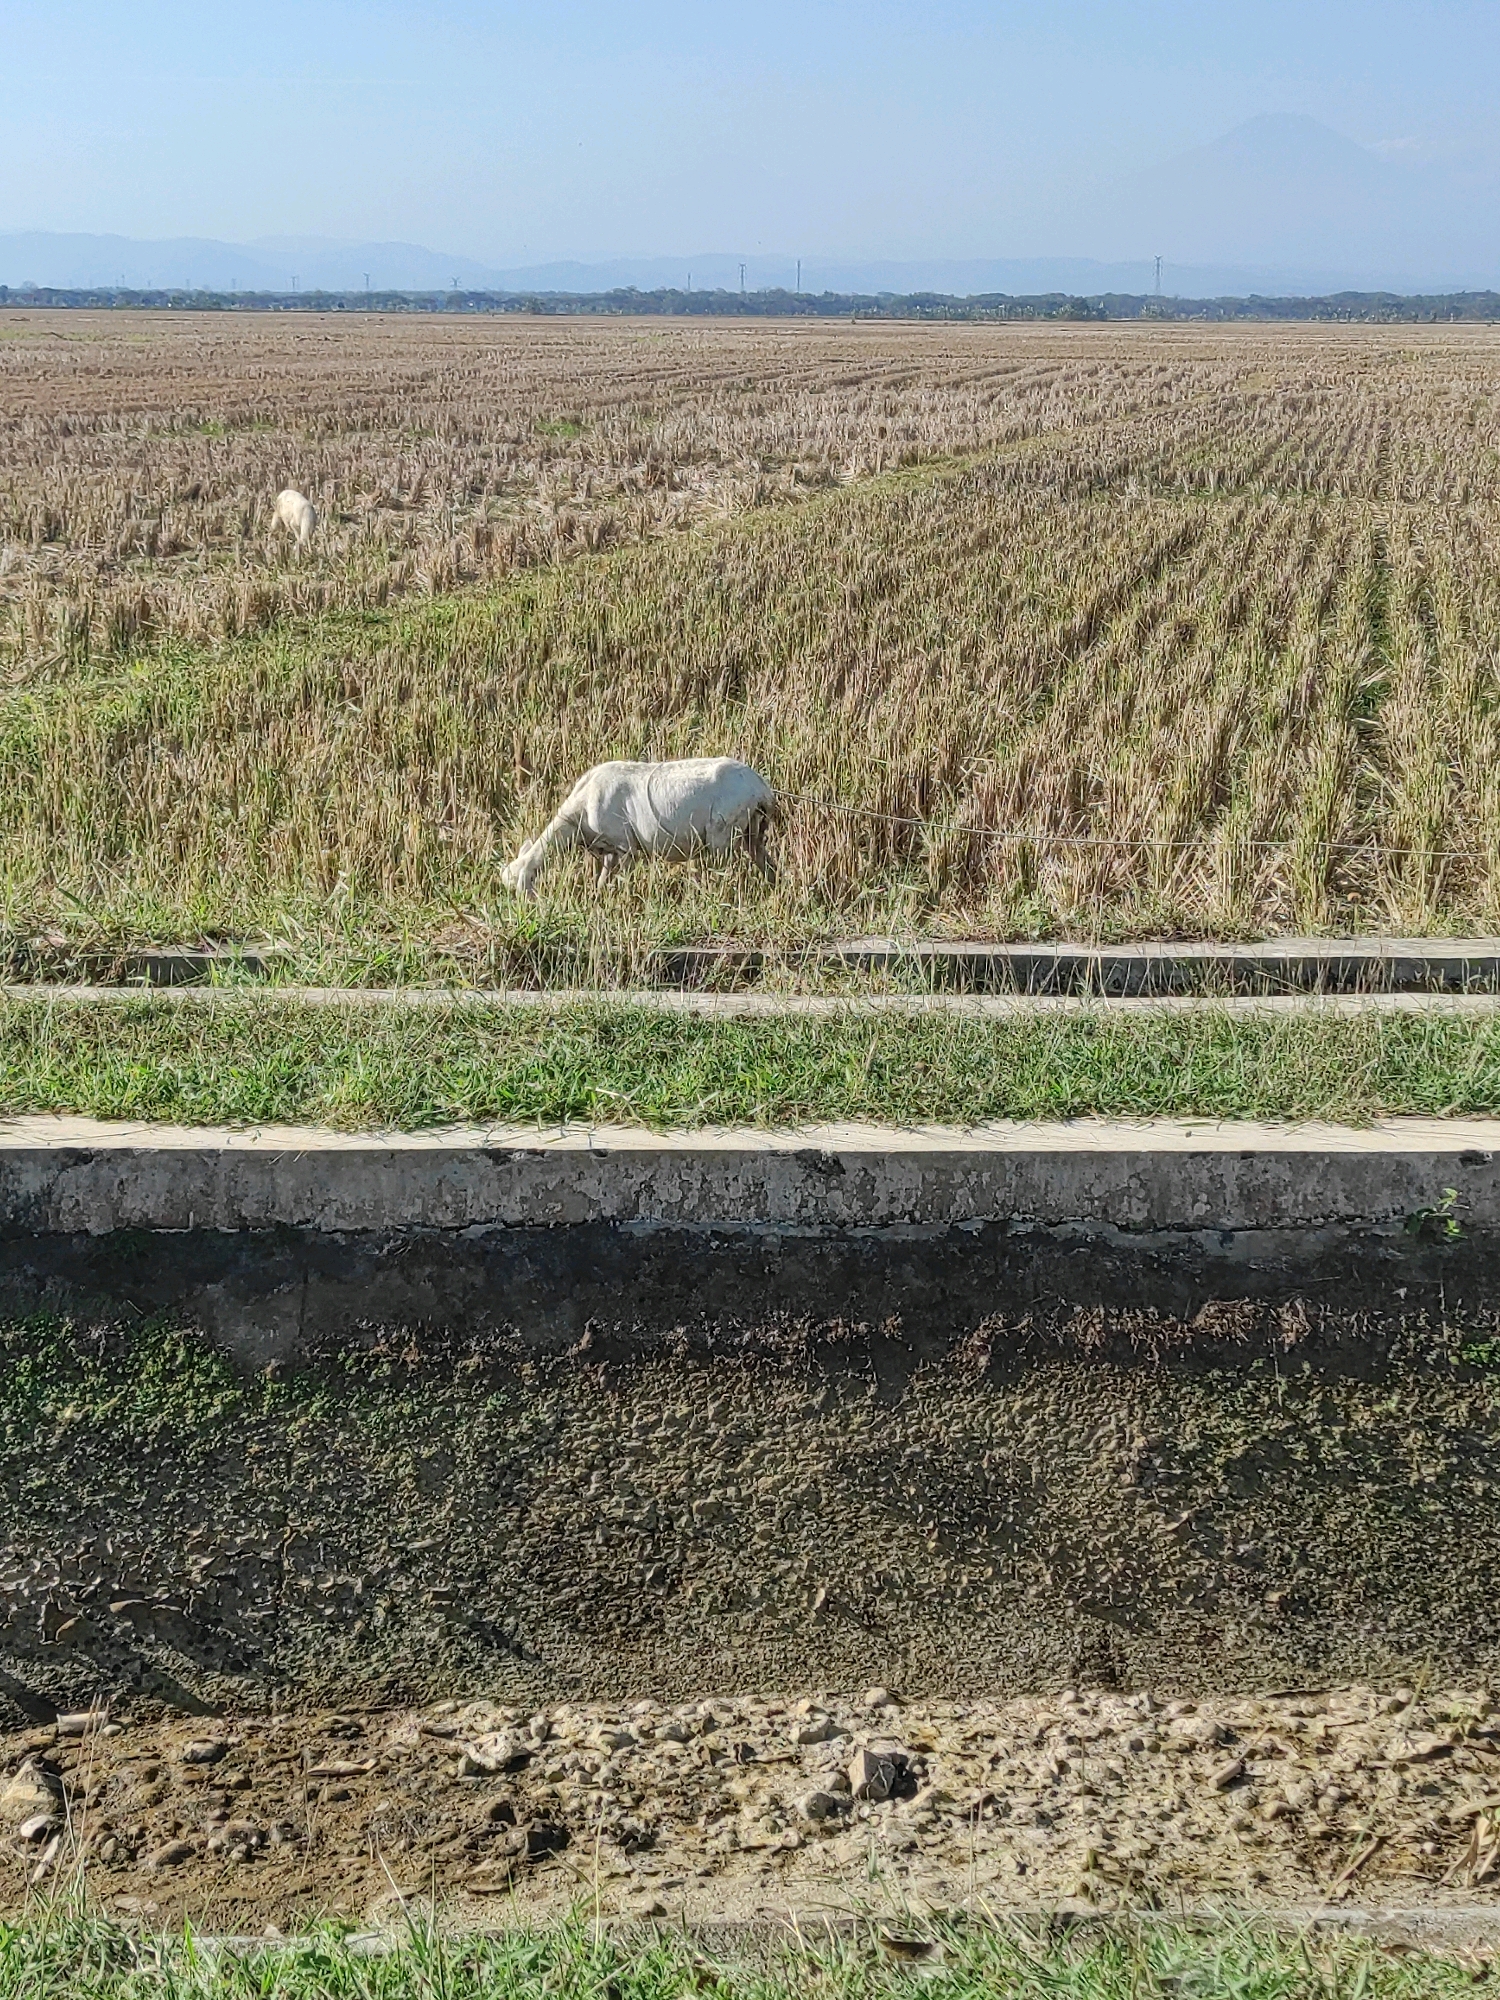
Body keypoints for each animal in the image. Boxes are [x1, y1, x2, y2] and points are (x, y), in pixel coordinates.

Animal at [501, 758, 776, 898]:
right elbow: (603, 880)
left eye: (520, 887)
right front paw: (598, 900)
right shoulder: (609, 850)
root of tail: (760, 786)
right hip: (754, 825)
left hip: (724, 829)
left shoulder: (625, 846)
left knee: (726, 869)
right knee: (765, 860)